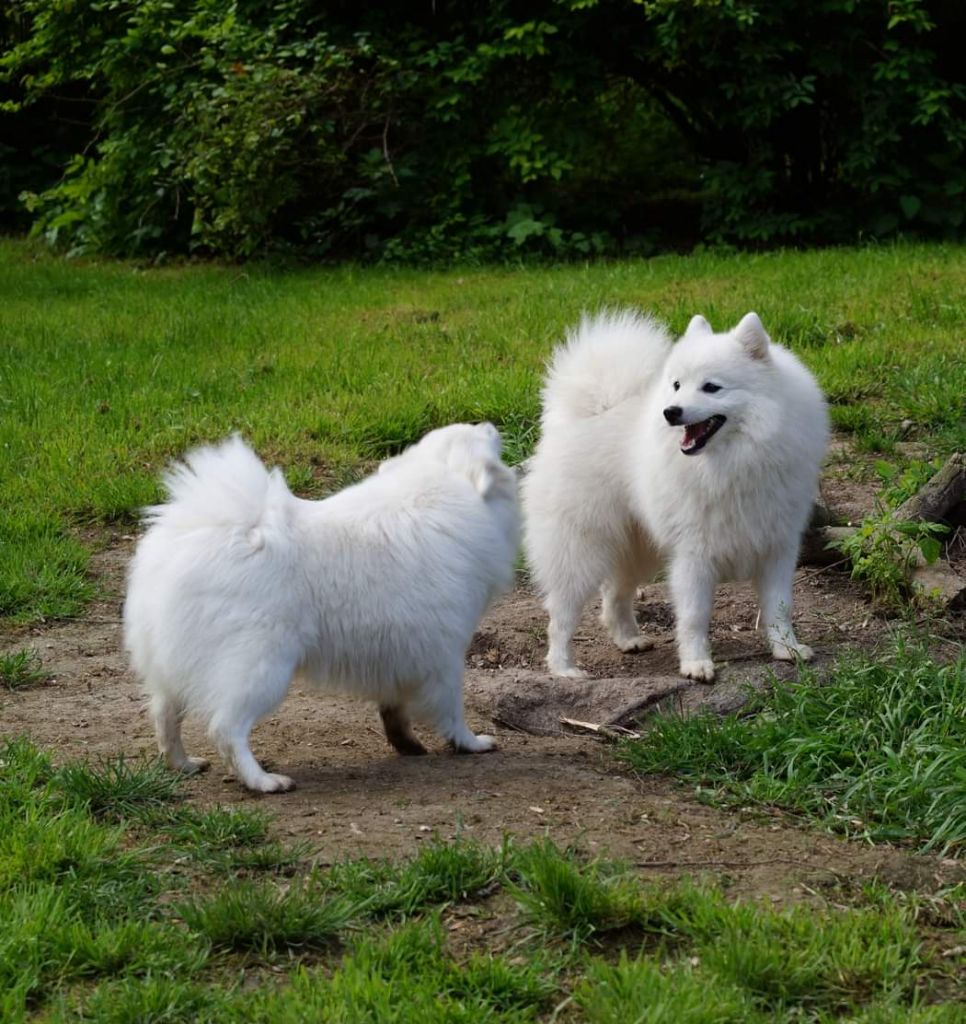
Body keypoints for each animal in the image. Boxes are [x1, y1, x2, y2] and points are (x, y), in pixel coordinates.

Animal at [128, 421, 524, 790]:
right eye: (477, 433)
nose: (488, 422)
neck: (443, 489)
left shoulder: (398, 653)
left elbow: (394, 711)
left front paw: (407, 745)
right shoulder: (445, 656)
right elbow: (452, 710)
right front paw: (470, 744)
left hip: (174, 667)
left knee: (165, 717)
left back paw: (183, 764)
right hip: (261, 669)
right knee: (226, 729)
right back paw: (263, 781)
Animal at [520, 309, 831, 679]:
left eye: (711, 387)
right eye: (677, 385)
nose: (670, 412)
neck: (736, 459)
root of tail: (590, 413)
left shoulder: (778, 547)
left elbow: (780, 607)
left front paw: (787, 649)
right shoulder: (694, 554)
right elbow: (695, 616)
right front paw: (696, 663)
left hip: (637, 549)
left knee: (614, 597)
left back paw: (629, 639)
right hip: (580, 551)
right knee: (561, 616)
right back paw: (564, 668)